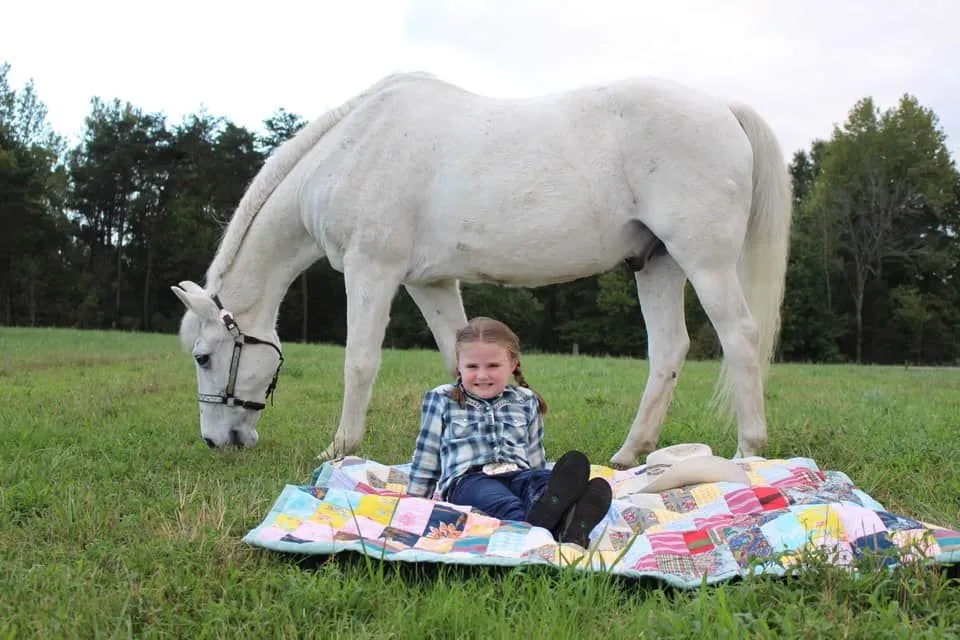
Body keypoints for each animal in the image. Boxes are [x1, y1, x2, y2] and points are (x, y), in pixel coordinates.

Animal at [169, 71, 792, 464]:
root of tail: (723, 108)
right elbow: (458, 358)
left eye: (203, 357)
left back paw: (748, 452)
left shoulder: (373, 271)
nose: (217, 441)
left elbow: (360, 363)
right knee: (668, 351)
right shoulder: (430, 281)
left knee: (739, 337)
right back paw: (629, 454)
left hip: (704, 260)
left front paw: (340, 450)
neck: (355, 149)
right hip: (656, 264)